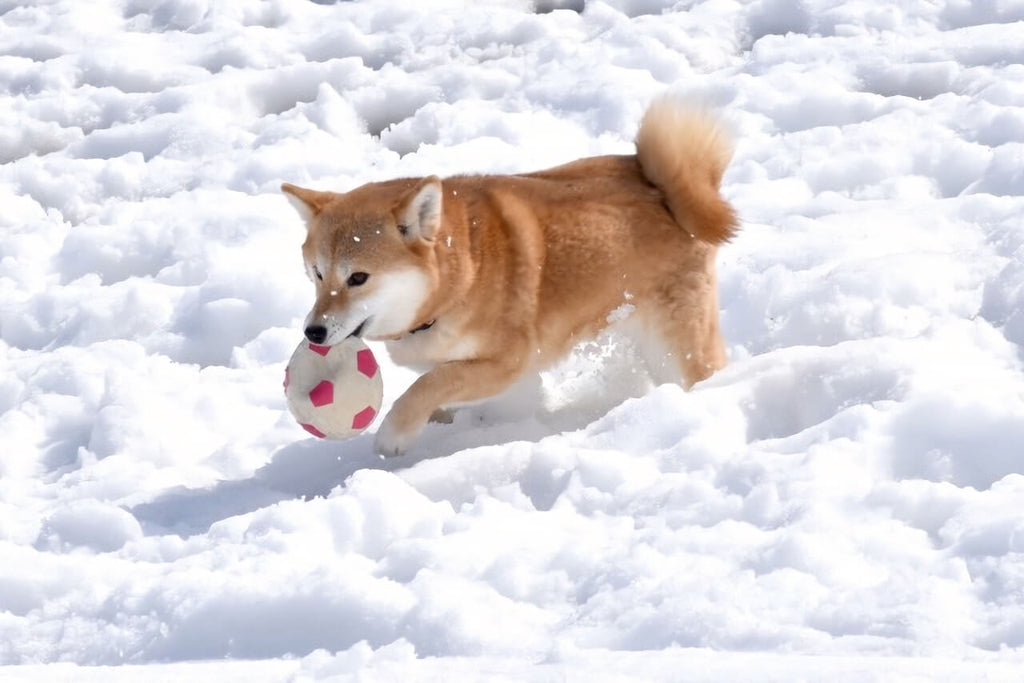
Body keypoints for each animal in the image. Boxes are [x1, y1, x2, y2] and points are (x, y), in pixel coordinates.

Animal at [284, 94, 741, 454]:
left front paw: (395, 433)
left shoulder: (508, 361)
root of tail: (669, 193)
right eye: (317, 274)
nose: (313, 332)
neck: (461, 278)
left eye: (358, 278)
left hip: (675, 345)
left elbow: (430, 384)